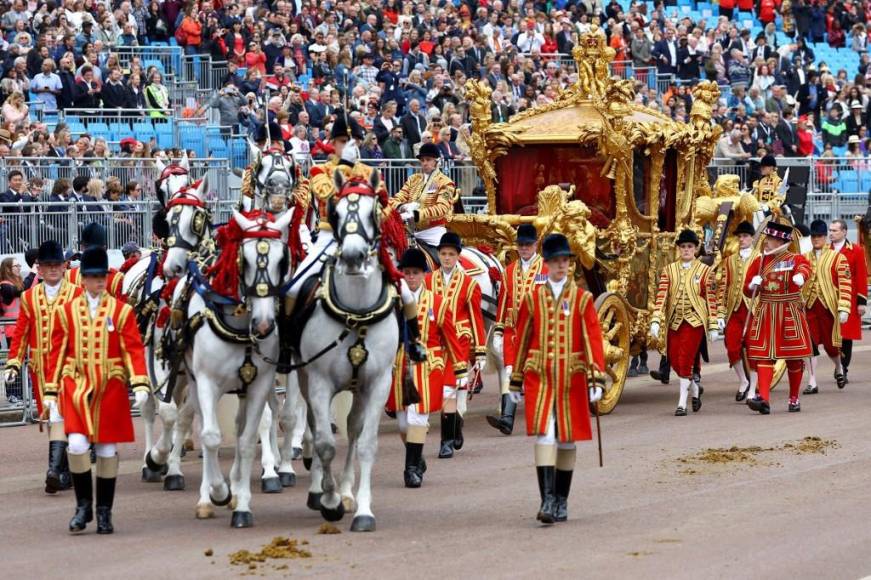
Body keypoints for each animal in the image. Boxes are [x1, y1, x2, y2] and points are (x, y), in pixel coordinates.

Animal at [182, 208, 294, 524]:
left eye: (282, 260)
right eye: (245, 259)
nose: (264, 325)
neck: (242, 328)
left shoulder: (259, 385)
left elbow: (246, 440)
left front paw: (241, 502)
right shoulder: (207, 382)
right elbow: (210, 436)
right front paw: (218, 491)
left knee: (243, 425)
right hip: (194, 382)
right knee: (203, 427)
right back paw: (207, 495)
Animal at [296, 170, 398, 532]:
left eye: (373, 211)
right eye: (337, 212)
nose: (353, 257)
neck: (356, 313)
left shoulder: (378, 383)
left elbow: (366, 444)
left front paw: (362, 509)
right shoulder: (318, 381)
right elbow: (325, 443)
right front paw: (328, 501)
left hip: (359, 388)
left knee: (353, 428)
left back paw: (347, 491)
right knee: (315, 425)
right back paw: (320, 490)